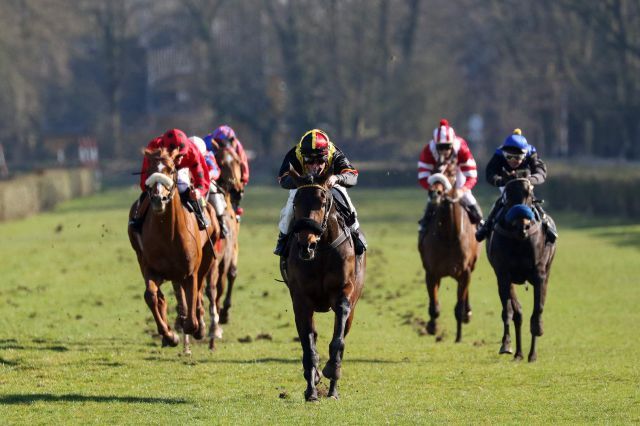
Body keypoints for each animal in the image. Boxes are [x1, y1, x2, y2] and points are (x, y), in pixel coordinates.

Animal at [129, 148, 219, 348]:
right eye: (149, 170)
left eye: (171, 170)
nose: (158, 199)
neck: (167, 234)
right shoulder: (151, 268)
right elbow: (151, 296)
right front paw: (170, 335)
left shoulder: (190, 273)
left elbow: (192, 315)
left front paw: (196, 327)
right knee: (161, 297)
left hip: (207, 257)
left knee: (199, 291)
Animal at [284, 167, 368, 402]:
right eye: (296, 203)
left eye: (322, 202)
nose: (306, 244)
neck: (320, 252)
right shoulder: (301, 300)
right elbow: (308, 346)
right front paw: (312, 390)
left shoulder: (343, 293)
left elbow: (337, 341)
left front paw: (332, 369)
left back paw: (332, 390)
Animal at [418, 166, 478, 342]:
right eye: (436, 169)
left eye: (451, 173)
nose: (434, 193)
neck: (449, 235)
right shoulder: (432, 273)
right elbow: (434, 305)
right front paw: (432, 327)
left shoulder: (465, 272)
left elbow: (458, 306)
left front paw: (458, 337)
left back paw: (467, 313)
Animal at [490, 178, 556, 362]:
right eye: (508, 196)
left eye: (530, 194)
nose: (523, 226)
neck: (519, 240)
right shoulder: (503, 274)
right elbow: (508, 311)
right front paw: (506, 344)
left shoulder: (540, 275)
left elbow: (537, 310)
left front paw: (538, 330)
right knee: (517, 314)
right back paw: (518, 353)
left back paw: (531, 354)